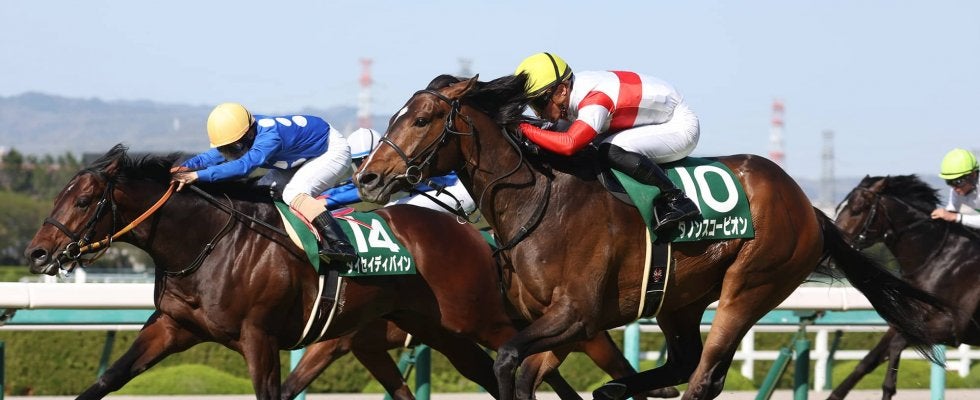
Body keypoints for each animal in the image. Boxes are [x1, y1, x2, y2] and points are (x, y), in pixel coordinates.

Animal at [353, 74, 950, 400]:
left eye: (423, 119)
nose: (369, 179)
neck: (540, 201)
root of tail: (807, 206)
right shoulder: (562, 322)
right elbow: (524, 374)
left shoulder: (575, 314)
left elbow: (506, 363)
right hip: (678, 301)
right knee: (685, 362)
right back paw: (619, 388)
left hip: (750, 286)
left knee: (705, 376)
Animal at [830, 175, 980, 400]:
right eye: (840, 207)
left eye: (859, 207)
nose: (833, 246)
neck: (935, 259)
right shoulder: (903, 319)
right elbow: (867, 361)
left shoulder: (950, 329)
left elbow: (896, 346)